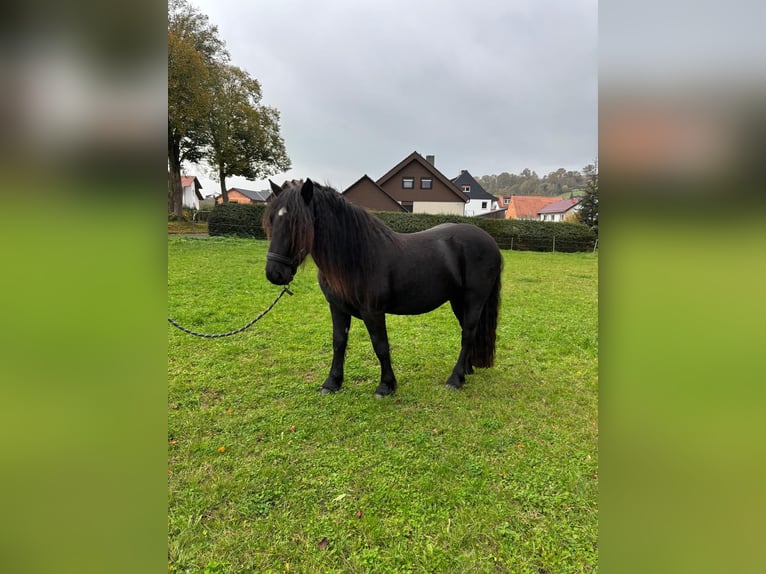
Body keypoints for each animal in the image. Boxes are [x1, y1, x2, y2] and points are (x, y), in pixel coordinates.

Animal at [264, 180, 504, 400]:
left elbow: (381, 346)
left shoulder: (373, 312)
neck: (356, 256)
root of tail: (490, 241)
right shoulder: (337, 308)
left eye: (297, 222)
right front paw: (332, 383)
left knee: (468, 333)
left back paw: (455, 379)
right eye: (272, 219)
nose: (274, 273)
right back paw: (466, 370)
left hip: (474, 299)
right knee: (468, 332)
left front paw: (386, 386)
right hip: (457, 300)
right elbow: (339, 342)